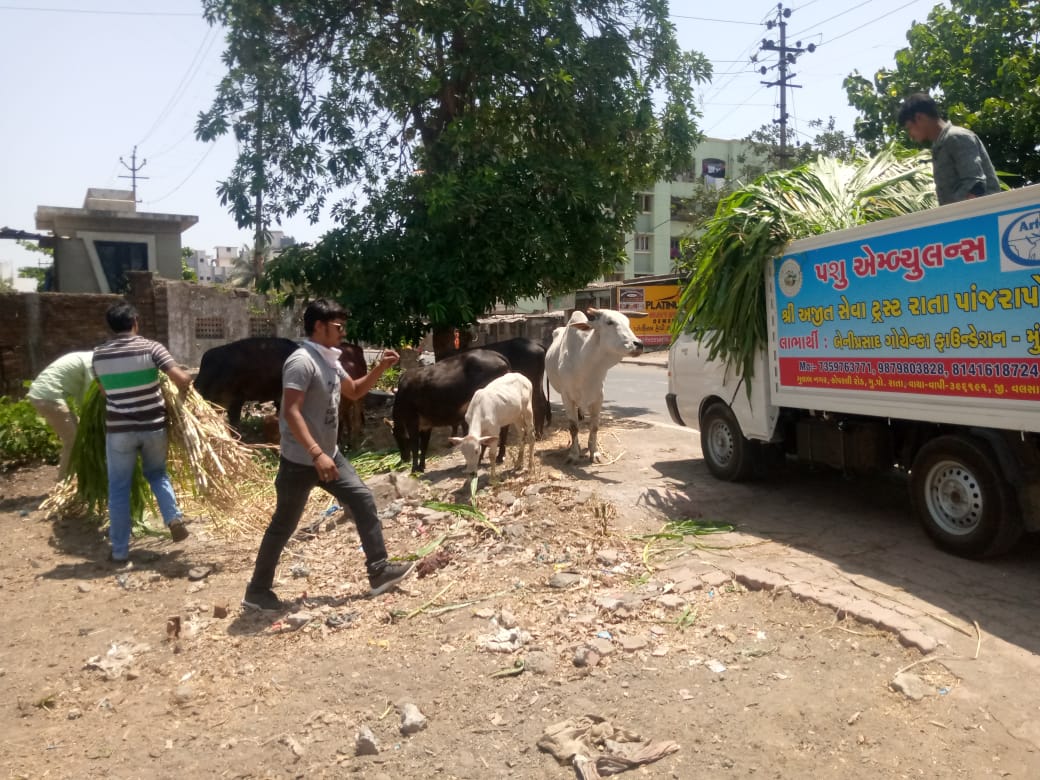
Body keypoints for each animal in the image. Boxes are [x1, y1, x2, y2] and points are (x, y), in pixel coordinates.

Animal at [544, 307, 640, 463]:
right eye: (609, 322)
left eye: (628, 322)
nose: (639, 344)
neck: (586, 365)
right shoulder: (567, 398)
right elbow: (573, 427)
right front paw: (574, 454)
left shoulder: (598, 397)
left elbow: (594, 427)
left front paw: (594, 452)